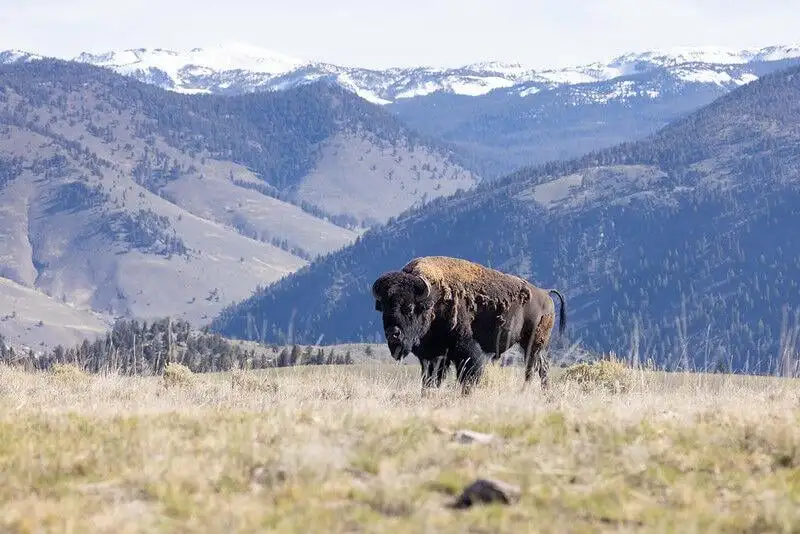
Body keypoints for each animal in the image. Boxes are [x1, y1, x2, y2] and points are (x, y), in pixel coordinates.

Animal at [371, 256, 567, 395]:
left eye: (410, 308)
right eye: (384, 308)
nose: (393, 333)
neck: (433, 300)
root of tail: (545, 294)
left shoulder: (467, 352)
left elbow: (468, 376)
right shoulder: (433, 357)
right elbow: (431, 380)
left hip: (532, 343)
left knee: (532, 368)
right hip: (536, 346)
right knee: (542, 367)